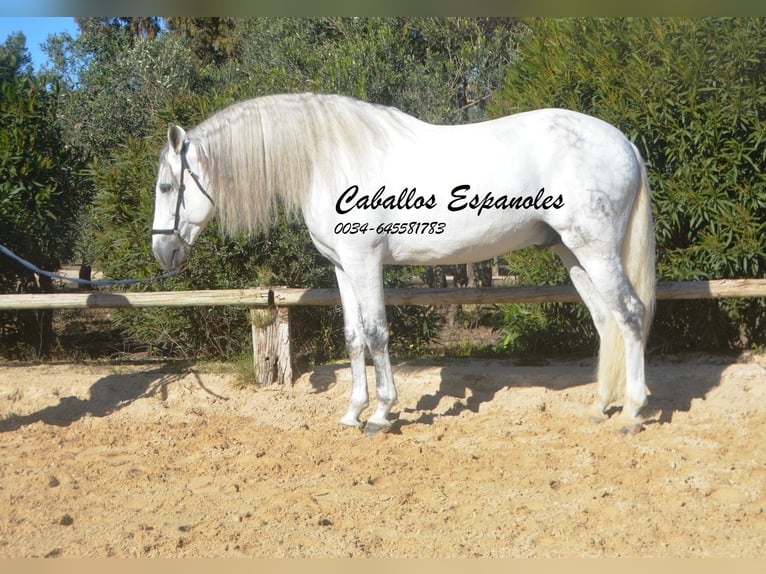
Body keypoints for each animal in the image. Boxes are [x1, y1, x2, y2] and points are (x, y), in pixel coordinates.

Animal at [153, 93, 656, 436]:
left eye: (165, 186)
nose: (162, 253)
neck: (331, 158)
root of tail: (623, 142)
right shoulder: (343, 268)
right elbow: (353, 337)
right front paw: (352, 413)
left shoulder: (365, 261)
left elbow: (377, 333)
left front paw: (381, 414)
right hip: (571, 251)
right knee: (606, 319)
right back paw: (599, 406)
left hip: (595, 248)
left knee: (631, 314)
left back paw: (632, 412)